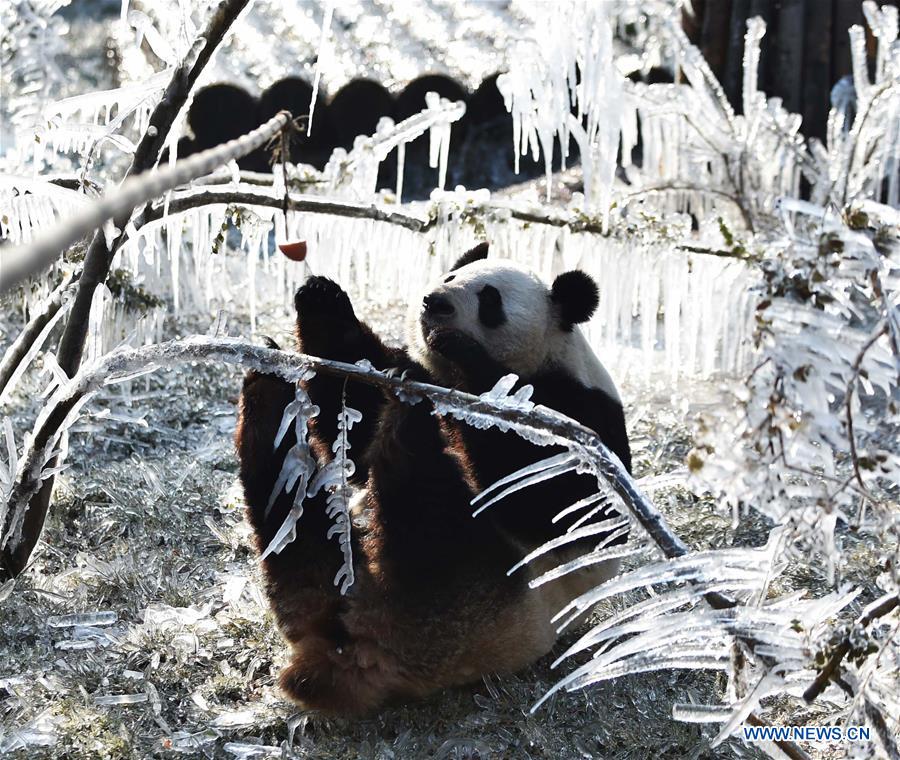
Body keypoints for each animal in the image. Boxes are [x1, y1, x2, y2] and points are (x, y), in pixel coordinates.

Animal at [236, 242, 628, 712]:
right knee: (293, 522)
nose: (433, 302)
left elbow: (554, 501)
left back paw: (408, 424)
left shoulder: (581, 410)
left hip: (471, 596)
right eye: (448, 277)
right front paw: (321, 298)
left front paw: (460, 355)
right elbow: (354, 420)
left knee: (426, 508)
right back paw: (267, 389)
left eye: (490, 300)